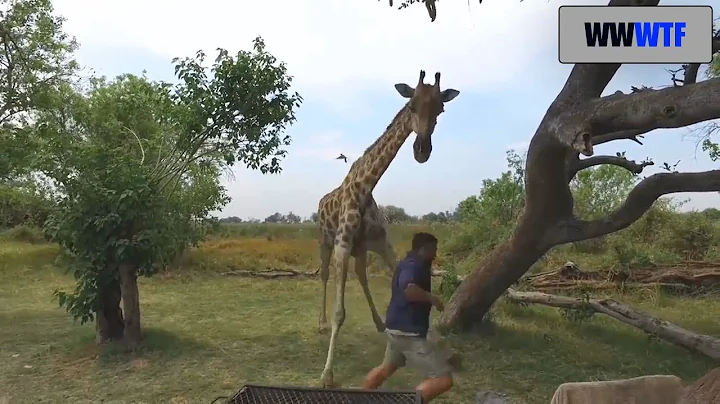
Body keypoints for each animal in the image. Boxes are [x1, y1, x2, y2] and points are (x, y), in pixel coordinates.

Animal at [315, 70, 460, 387]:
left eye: (441, 110)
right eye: (411, 106)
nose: (422, 151)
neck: (364, 188)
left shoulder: (382, 244)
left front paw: (448, 348)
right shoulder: (342, 245)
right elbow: (340, 312)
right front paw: (327, 374)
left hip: (359, 251)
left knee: (361, 276)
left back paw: (380, 324)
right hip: (324, 242)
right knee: (324, 276)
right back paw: (320, 323)